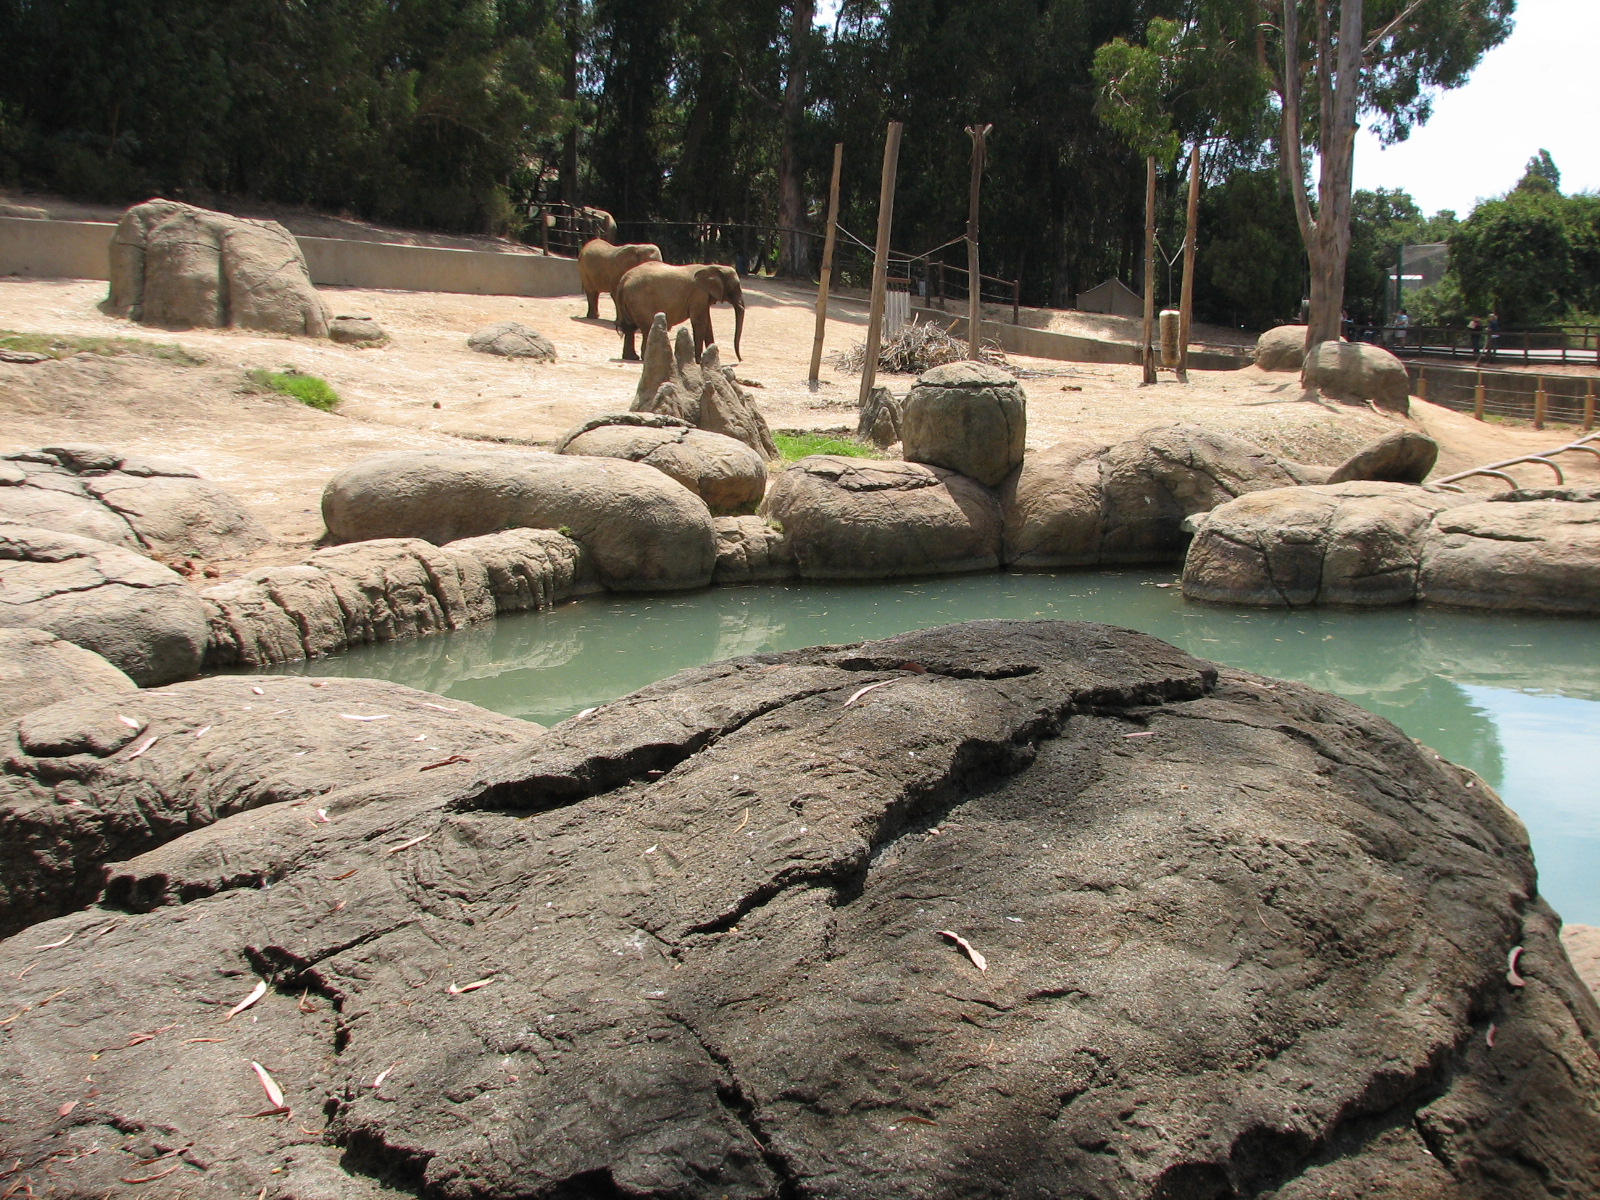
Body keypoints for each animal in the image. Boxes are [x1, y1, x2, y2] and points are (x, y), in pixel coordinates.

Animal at [615, 261, 745, 362]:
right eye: (735, 286)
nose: (741, 360)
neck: (713, 267)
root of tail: (623, 280)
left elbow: (707, 323)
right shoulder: (698, 293)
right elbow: (699, 321)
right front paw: (698, 361)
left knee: (630, 328)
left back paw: (632, 357)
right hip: (640, 300)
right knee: (647, 326)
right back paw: (644, 358)